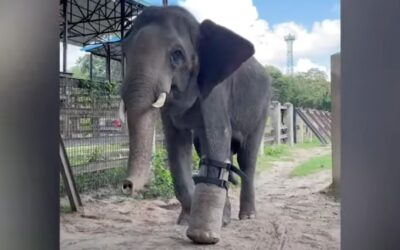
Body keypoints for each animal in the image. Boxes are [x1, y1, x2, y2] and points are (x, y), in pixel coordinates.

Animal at [117, 5, 270, 244]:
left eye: (177, 55)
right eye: (124, 53)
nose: (127, 185)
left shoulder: (215, 92)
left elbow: (218, 137)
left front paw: (205, 234)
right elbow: (177, 147)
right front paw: (186, 222)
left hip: (262, 109)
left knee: (247, 158)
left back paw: (248, 216)